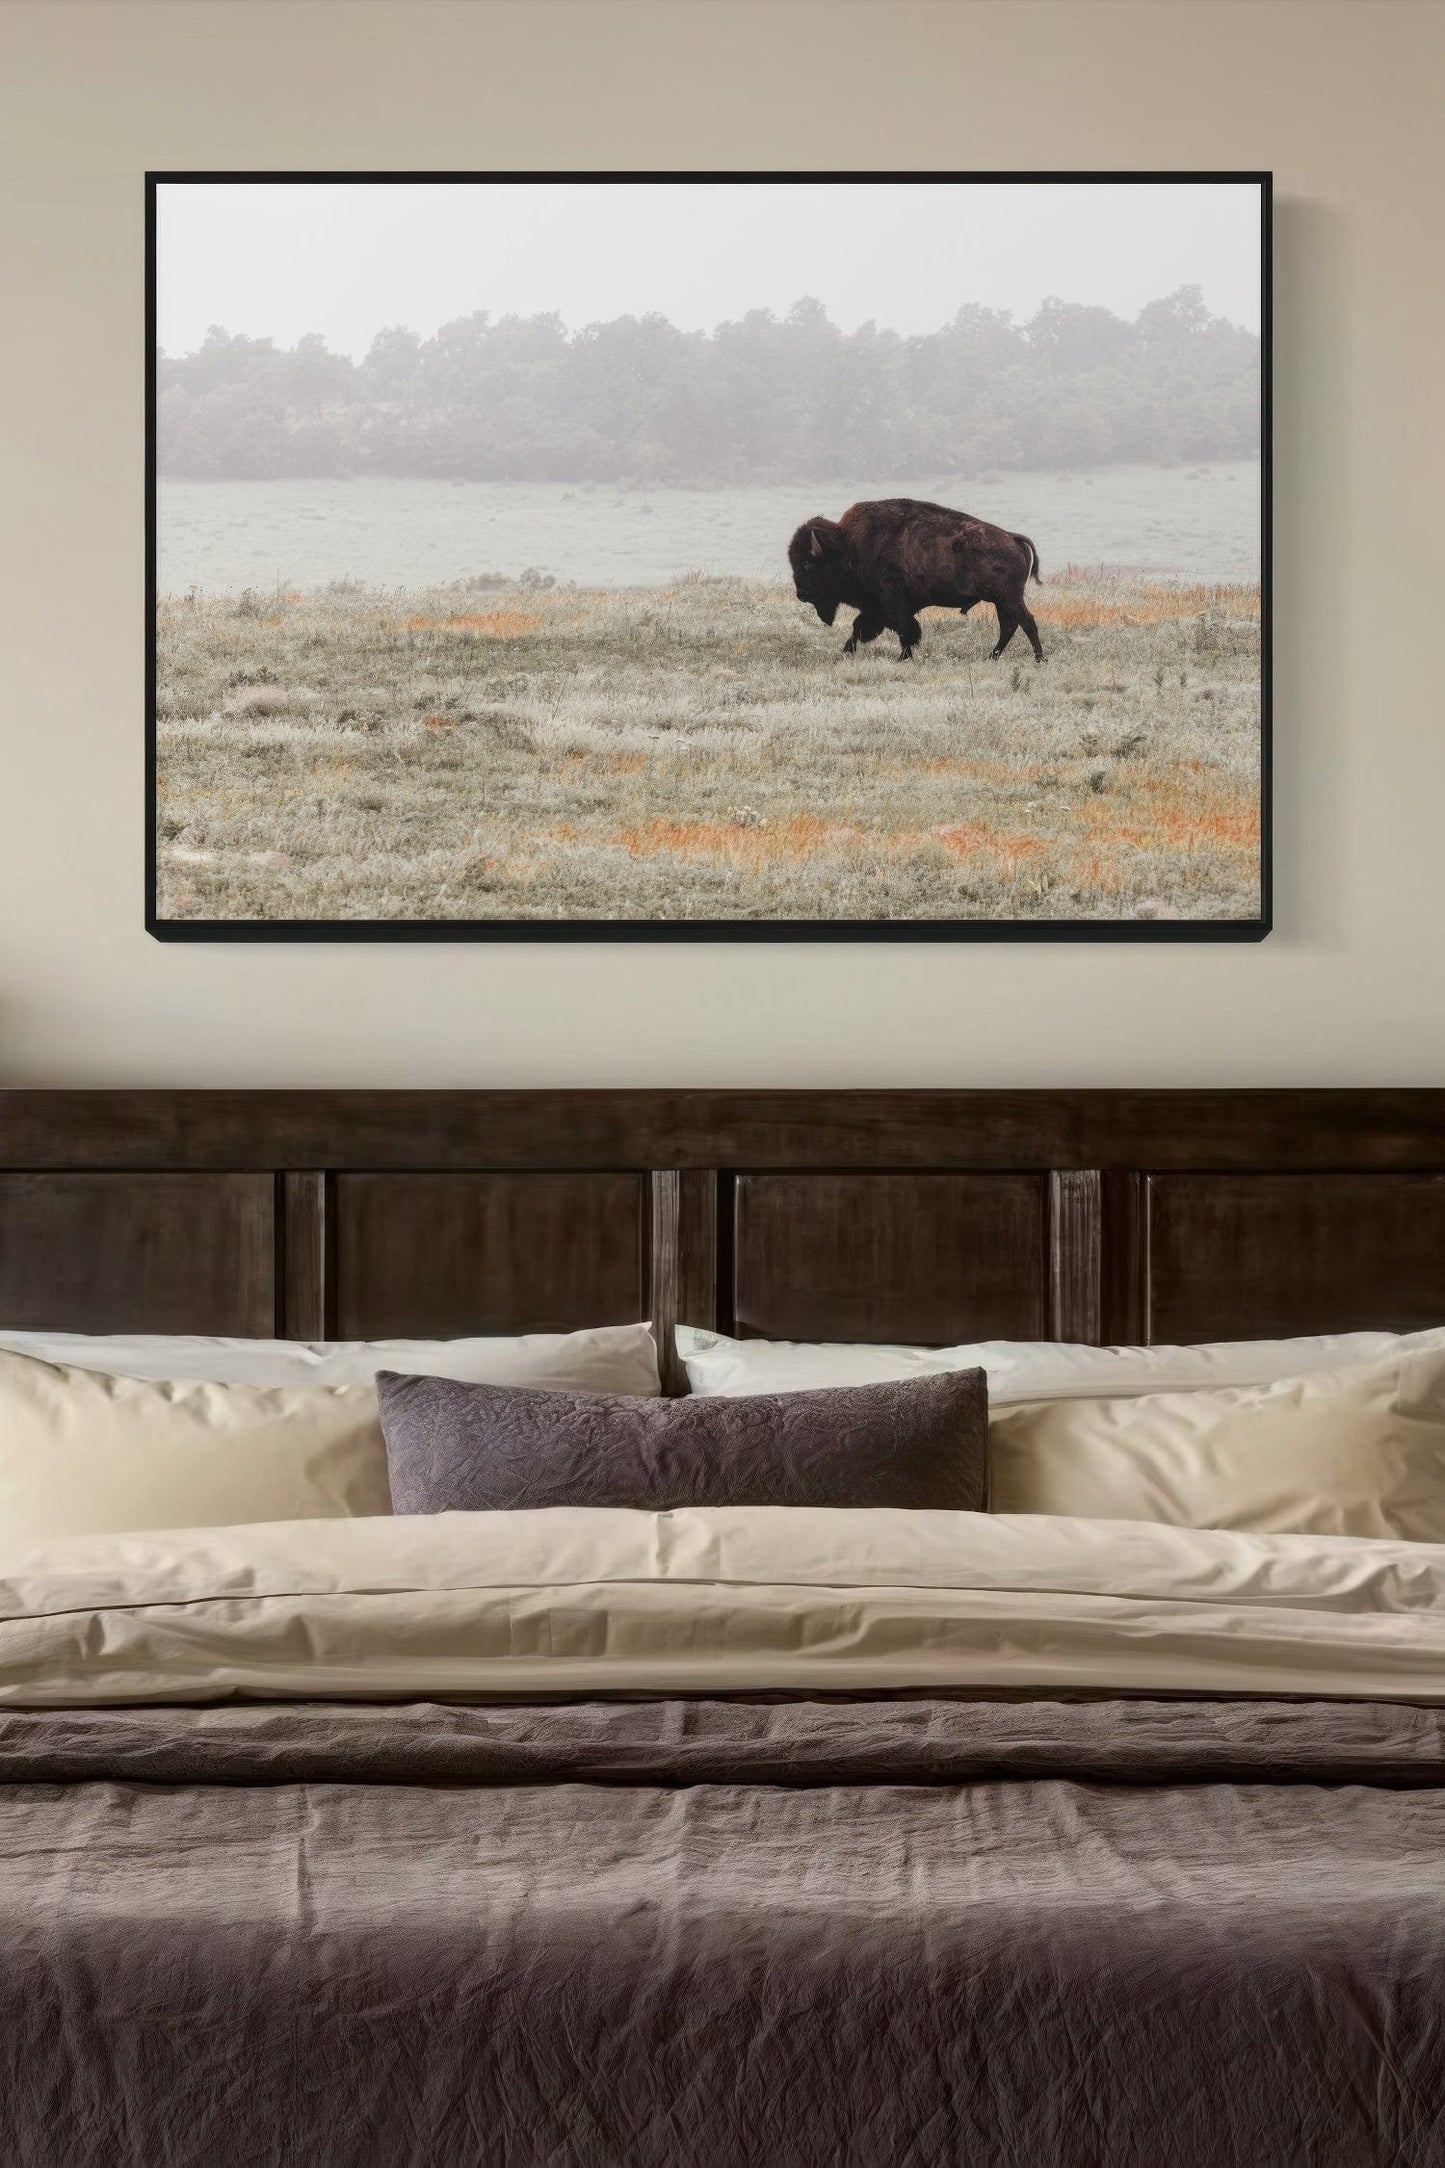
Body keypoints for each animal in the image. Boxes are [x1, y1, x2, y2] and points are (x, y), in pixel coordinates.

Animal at [788, 497, 1043, 663]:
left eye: (807, 563)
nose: (801, 594)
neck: (849, 548)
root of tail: (1012, 538)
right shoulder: (875, 607)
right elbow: (859, 628)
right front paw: (846, 651)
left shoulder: (893, 603)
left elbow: (905, 630)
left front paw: (903, 657)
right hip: (1001, 601)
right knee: (1008, 626)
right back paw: (991, 657)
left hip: (1009, 598)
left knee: (1026, 622)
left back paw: (1039, 659)